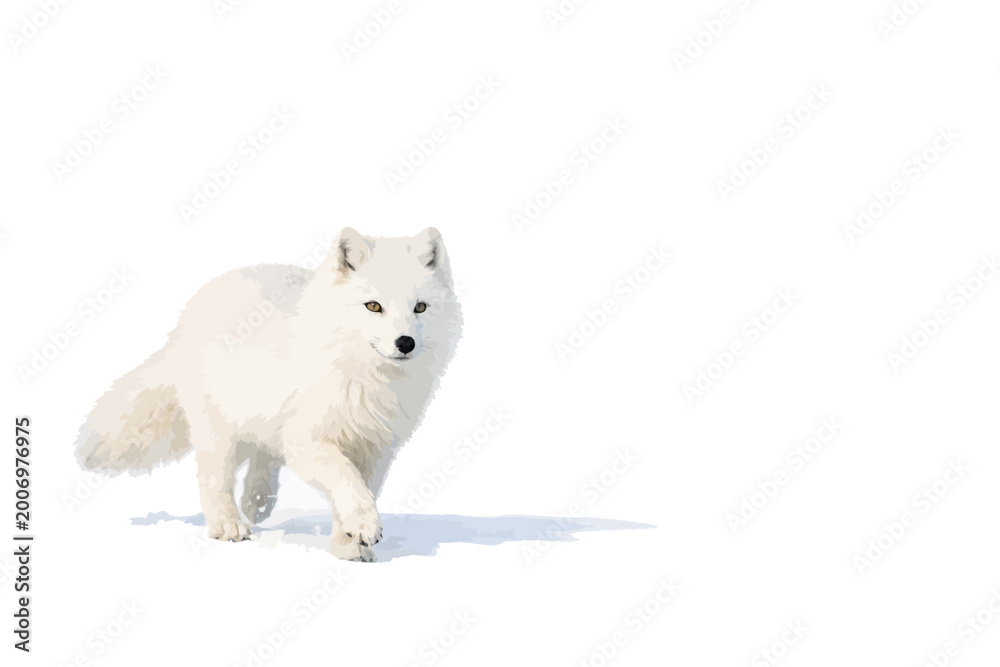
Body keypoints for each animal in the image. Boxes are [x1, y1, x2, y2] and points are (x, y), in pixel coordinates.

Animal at [75, 228, 462, 562]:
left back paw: (257, 502)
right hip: (220, 430)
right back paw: (228, 524)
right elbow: (346, 480)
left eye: (420, 307)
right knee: (212, 478)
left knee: (263, 455)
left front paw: (348, 545)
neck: (365, 376)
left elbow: (360, 489)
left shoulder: (377, 447)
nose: (405, 342)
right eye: (373, 306)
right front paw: (363, 526)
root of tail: (190, 311)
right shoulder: (308, 439)